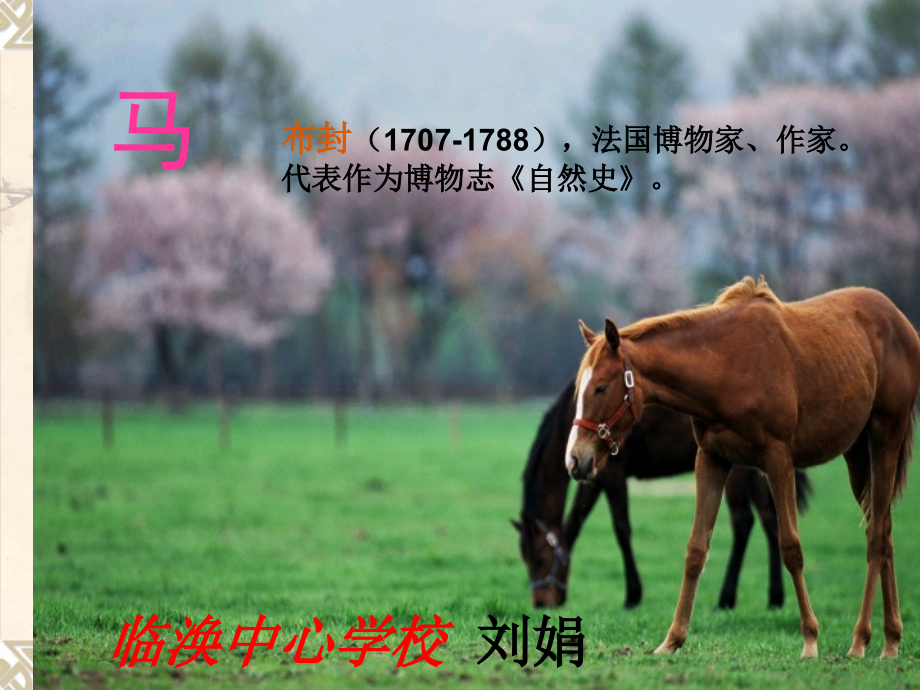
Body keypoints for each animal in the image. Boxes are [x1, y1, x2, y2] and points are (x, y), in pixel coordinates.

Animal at [515, 378, 811, 610]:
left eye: (538, 559)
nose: (540, 602)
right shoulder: (593, 477)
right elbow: (574, 526)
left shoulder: (612, 474)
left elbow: (621, 529)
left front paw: (633, 595)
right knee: (770, 520)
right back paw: (774, 598)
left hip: (737, 471)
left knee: (743, 522)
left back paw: (726, 599)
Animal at [568, 277, 920, 658]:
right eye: (578, 388)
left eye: (601, 387)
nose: (575, 459)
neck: (726, 365)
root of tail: (902, 323)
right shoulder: (711, 460)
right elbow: (696, 550)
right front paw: (672, 640)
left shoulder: (778, 460)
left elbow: (790, 547)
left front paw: (810, 639)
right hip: (857, 455)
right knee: (883, 532)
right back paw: (891, 639)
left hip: (885, 439)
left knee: (875, 536)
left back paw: (860, 641)